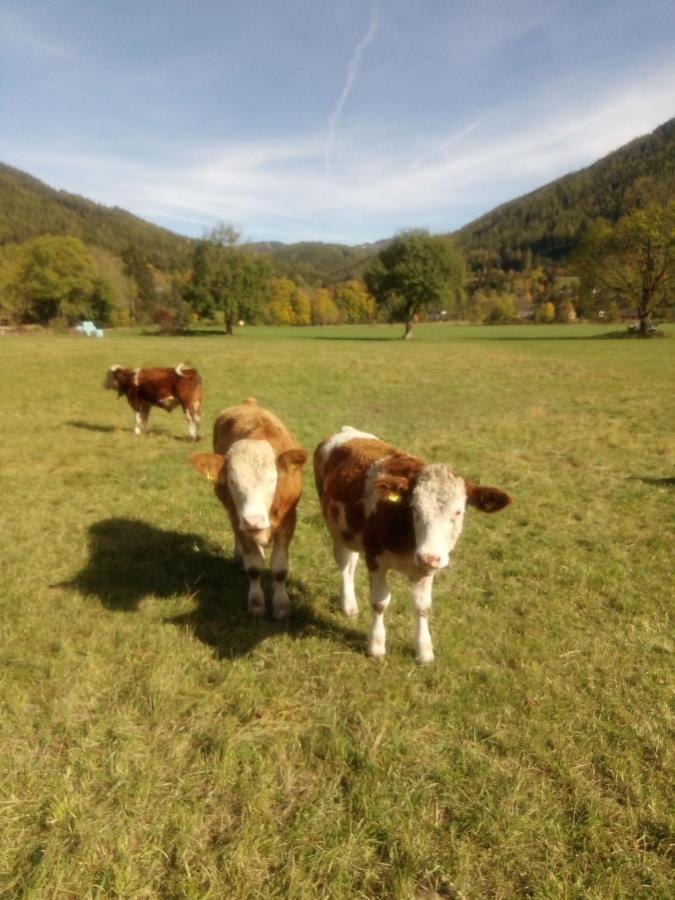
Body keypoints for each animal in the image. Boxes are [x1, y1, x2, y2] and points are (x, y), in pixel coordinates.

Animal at [189, 400, 308, 620]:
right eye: (232, 481)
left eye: (273, 479)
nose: (254, 521)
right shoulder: (239, 520)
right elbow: (253, 567)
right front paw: (256, 604)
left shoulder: (288, 521)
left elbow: (279, 568)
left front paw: (281, 605)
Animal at [316, 426, 512, 664]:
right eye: (415, 509)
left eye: (458, 512)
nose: (429, 556)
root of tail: (347, 431)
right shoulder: (375, 558)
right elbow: (380, 602)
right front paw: (376, 646)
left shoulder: (425, 568)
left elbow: (422, 607)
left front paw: (424, 650)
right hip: (335, 529)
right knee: (344, 564)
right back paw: (348, 605)